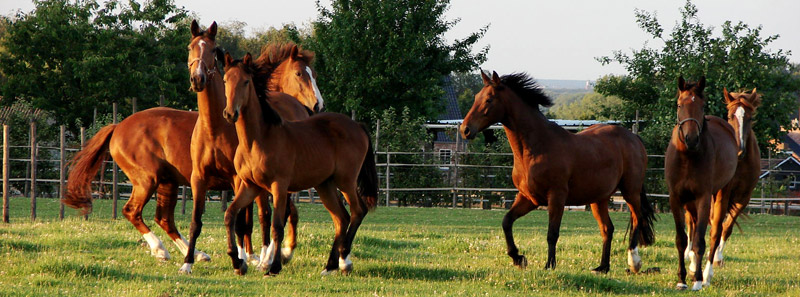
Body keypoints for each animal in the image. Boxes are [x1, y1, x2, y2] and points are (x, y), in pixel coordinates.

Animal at [220, 51, 380, 276]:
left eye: (245, 81)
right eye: (226, 80)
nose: (230, 113)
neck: (258, 138)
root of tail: (356, 125)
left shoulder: (279, 187)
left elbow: (277, 225)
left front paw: (274, 265)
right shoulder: (250, 186)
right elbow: (230, 215)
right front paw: (237, 262)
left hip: (346, 181)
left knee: (358, 211)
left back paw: (343, 260)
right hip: (325, 185)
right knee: (341, 218)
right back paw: (329, 266)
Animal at [456, 71, 656, 272]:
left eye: (489, 99)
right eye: (476, 97)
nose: (465, 129)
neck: (536, 148)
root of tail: (634, 138)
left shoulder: (556, 197)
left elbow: (552, 233)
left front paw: (549, 264)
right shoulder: (528, 198)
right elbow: (507, 221)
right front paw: (518, 258)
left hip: (630, 191)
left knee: (637, 219)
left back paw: (633, 262)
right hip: (599, 199)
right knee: (608, 228)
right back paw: (602, 267)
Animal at [664, 75, 740, 290]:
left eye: (702, 106)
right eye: (679, 104)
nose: (691, 139)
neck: (687, 157)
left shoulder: (703, 198)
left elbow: (700, 240)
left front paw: (697, 280)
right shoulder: (676, 199)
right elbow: (682, 239)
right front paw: (681, 280)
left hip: (721, 194)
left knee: (714, 234)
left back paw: (706, 276)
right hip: (690, 203)